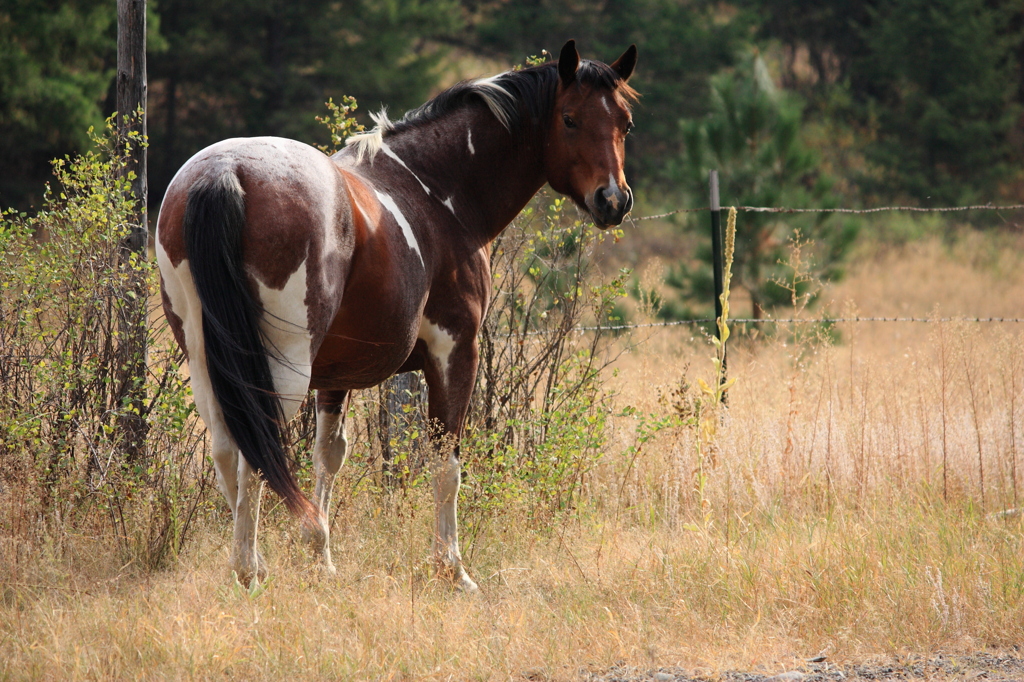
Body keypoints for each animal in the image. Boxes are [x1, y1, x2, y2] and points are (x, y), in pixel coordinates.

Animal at [154, 38, 634, 589]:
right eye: (570, 119)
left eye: (625, 123)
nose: (613, 200)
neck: (436, 192)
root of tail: (226, 172)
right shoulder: (454, 352)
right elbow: (445, 465)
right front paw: (452, 568)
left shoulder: (335, 374)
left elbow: (328, 456)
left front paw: (321, 553)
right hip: (281, 367)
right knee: (256, 445)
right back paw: (249, 570)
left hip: (206, 361)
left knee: (228, 449)